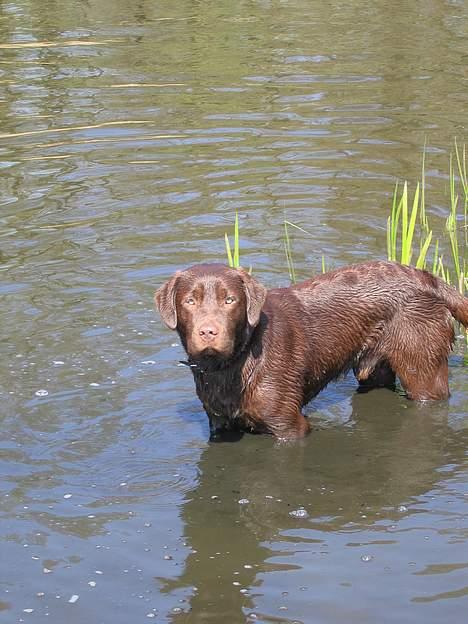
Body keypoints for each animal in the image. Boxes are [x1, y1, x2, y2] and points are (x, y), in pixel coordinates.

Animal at [156, 262, 468, 438]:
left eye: (230, 300)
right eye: (190, 301)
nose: (208, 331)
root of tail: (430, 280)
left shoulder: (290, 427)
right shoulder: (218, 423)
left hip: (422, 371)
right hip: (374, 371)